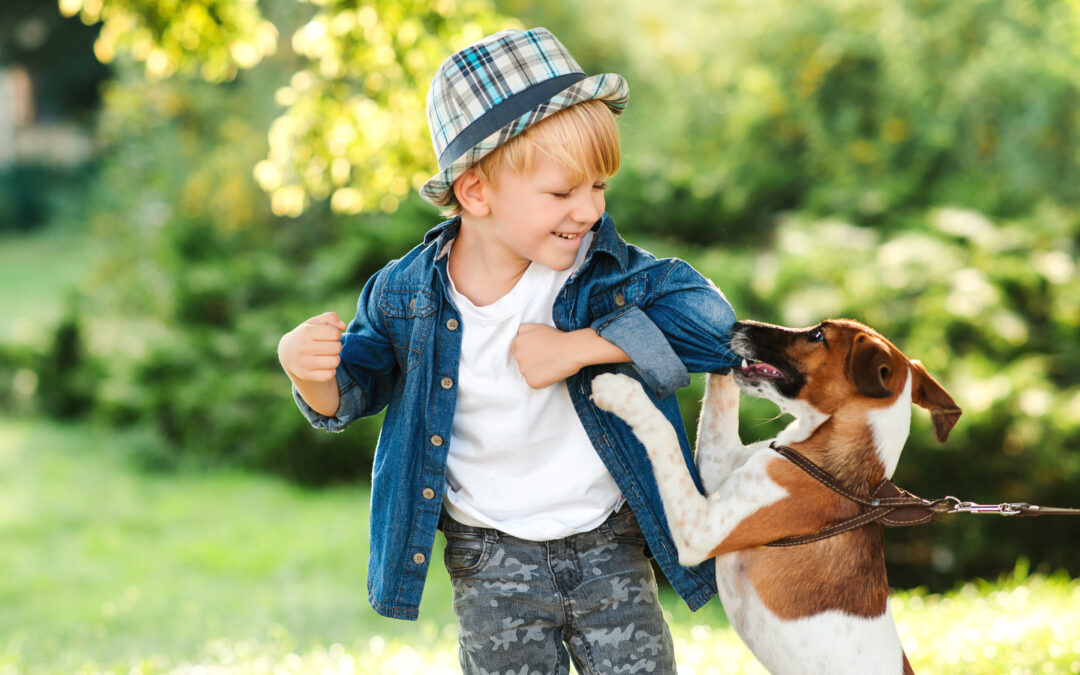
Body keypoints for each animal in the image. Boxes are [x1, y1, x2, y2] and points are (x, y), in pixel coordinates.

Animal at [591, 317, 963, 673]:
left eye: (818, 335)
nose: (739, 324)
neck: (828, 465)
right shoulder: (717, 464)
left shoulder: (699, 532)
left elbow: (663, 432)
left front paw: (620, 393)